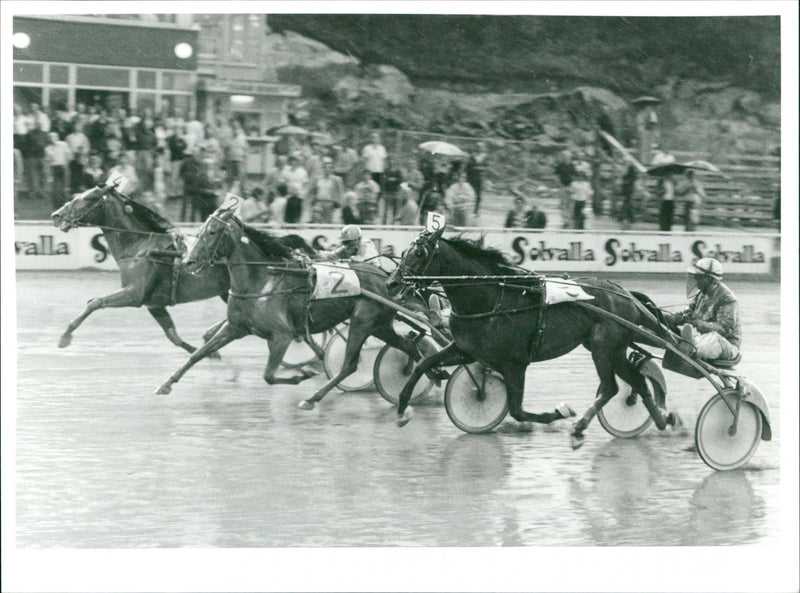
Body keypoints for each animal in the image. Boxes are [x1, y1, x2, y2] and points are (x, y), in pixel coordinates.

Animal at [47, 183, 318, 358]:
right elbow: (173, 336)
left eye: (87, 198)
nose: (56, 215)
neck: (141, 245)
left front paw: (64, 337)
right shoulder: (154, 302)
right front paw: (208, 354)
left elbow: (95, 302)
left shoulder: (135, 294)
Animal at [155, 204, 424, 408]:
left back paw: (312, 398)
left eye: (212, 232)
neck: (261, 281)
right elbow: (199, 353)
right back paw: (412, 375)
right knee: (409, 346)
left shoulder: (281, 336)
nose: (188, 261)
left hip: (362, 321)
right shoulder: (235, 327)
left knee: (349, 365)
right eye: (200, 229)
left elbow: (268, 375)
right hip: (379, 325)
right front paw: (166, 384)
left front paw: (304, 373)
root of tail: (384, 278)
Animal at [388, 227, 680, 444]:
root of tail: (626, 295)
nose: (392, 283)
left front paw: (557, 413)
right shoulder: (465, 349)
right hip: (612, 349)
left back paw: (580, 424)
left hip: (603, 347)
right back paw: (661, 419)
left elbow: (517, 411)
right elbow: (424, 363)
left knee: (611, 387)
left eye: (419, 252)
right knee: (636, 380)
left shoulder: (515, 363)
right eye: (404, 251)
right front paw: (403, 409)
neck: (490, 298)